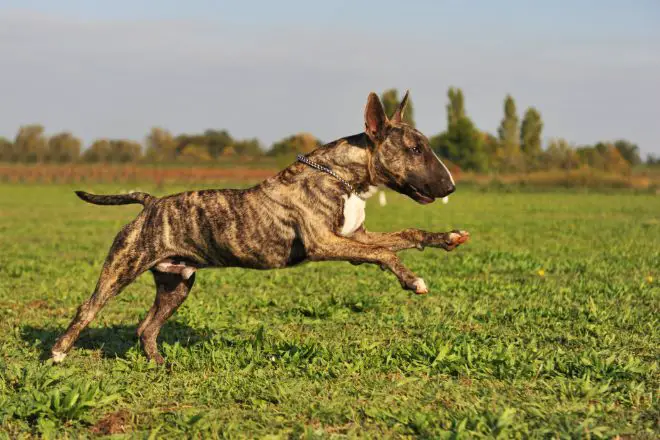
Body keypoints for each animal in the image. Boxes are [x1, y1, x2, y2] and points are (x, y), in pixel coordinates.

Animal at [50, 92, 470, 364]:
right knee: (88, 308)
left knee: (145, 328)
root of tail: (151, 203)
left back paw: (160, 365)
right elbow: (384, 252)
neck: (342, 177)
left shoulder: (355, 239)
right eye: (415, 149)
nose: (451, 187)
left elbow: (405, 237)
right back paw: (57, 353)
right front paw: (412, 280)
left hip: (176, 283)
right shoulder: (325, 243)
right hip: (123, 267)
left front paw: (448, 238)